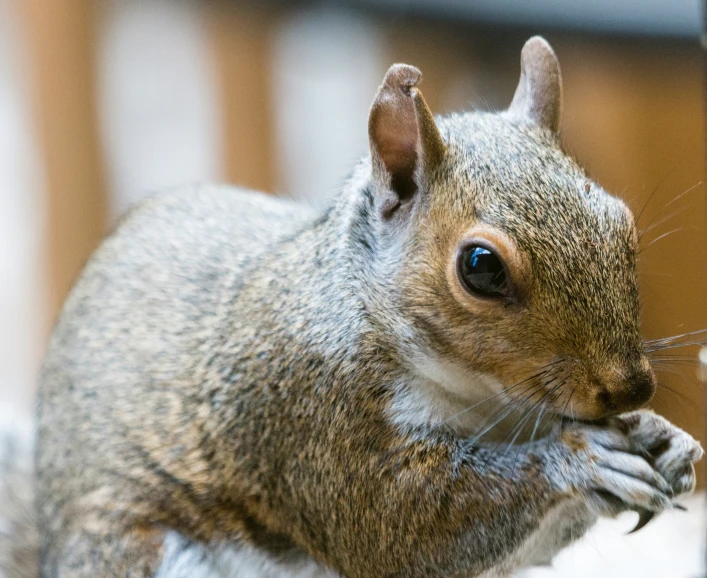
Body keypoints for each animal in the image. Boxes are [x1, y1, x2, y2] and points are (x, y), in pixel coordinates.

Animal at [4, 36, 704, 576]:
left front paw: (664, 439)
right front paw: (581, 457)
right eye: (481, 267)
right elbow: (399, 525)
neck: (487, 405)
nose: (631, 388)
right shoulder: (307, 410)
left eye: (621, 220)